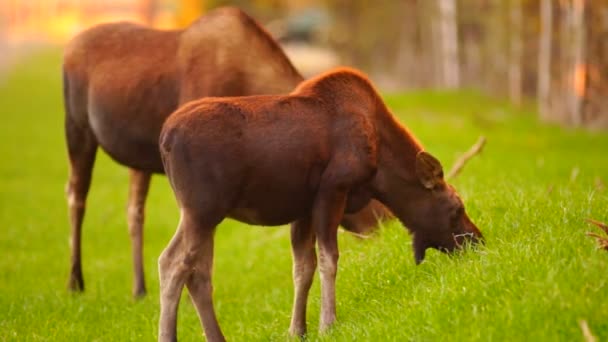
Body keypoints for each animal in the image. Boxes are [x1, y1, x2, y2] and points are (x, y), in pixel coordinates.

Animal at [60, 6, 384, 298]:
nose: (381, 229)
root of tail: (68, 49)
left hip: (136, 158)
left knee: (134, 209)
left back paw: (139, 287)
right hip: (77, 127)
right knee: (76, 194)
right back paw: (75, 281)